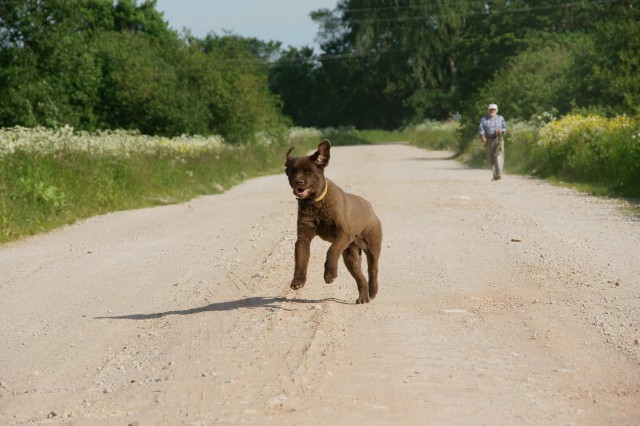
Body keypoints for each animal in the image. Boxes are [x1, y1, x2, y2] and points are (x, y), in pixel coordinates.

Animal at [284, 140, 382, 302]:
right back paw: (363, 297)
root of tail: (370, 207)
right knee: (359, 276)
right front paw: (297, 281)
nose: (298, 181)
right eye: (292, 171)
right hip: (350, 256)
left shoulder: (343, 233)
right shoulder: (303, 237)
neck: (316, 204)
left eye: (309, 171)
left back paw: (373, 291)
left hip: (372, 245)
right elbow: (300, 260)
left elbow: (331, 250)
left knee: (372, 269)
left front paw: (329, 274)